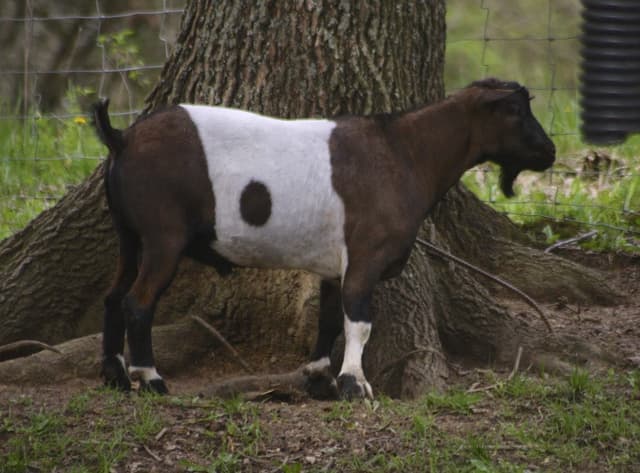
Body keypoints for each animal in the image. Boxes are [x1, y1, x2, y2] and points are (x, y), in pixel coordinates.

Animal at [92, 78, 555, 399]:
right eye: (515, 109)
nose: (549, 152)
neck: (402, 152)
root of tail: (123, 138)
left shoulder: (337, 263)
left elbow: (331, 318)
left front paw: (319, 380)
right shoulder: (367, 253)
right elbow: (359, 321)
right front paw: (355, 385)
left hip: (129, 235)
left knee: (112, 296)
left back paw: (115, 375)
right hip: (163, 237)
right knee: (138, 302)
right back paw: (151, 379)